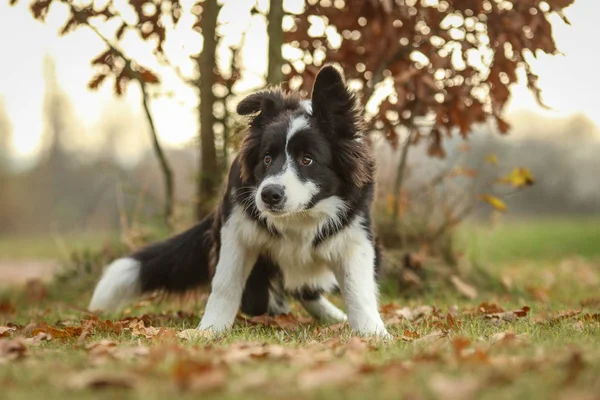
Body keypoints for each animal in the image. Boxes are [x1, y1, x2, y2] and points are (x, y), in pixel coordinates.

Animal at [88, 65, 390, 338]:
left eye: (307, 159)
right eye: (267, 158)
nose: (269, 195)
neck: (299, 217)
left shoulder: (356, 233)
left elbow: (358, 289)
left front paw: (373, 333)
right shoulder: (237, 230)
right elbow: (225, 284)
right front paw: (208, 331)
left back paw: (330, 315)